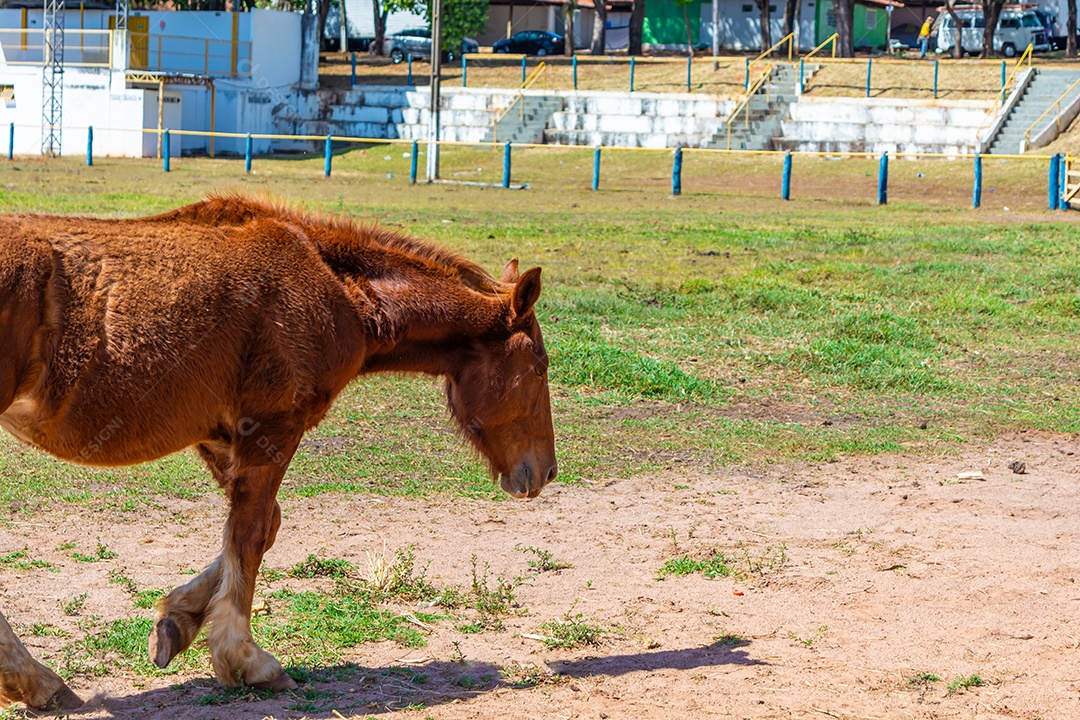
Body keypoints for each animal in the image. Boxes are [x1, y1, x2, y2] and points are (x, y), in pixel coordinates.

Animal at [0, 193, 557, 708]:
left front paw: (177, 622)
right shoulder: (274, 428)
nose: (546, 472)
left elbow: (264, 528)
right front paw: (246, 659)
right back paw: (35, 680)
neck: (336, 286)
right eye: (540, 367)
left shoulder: (221, 438)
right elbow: (247, 537)